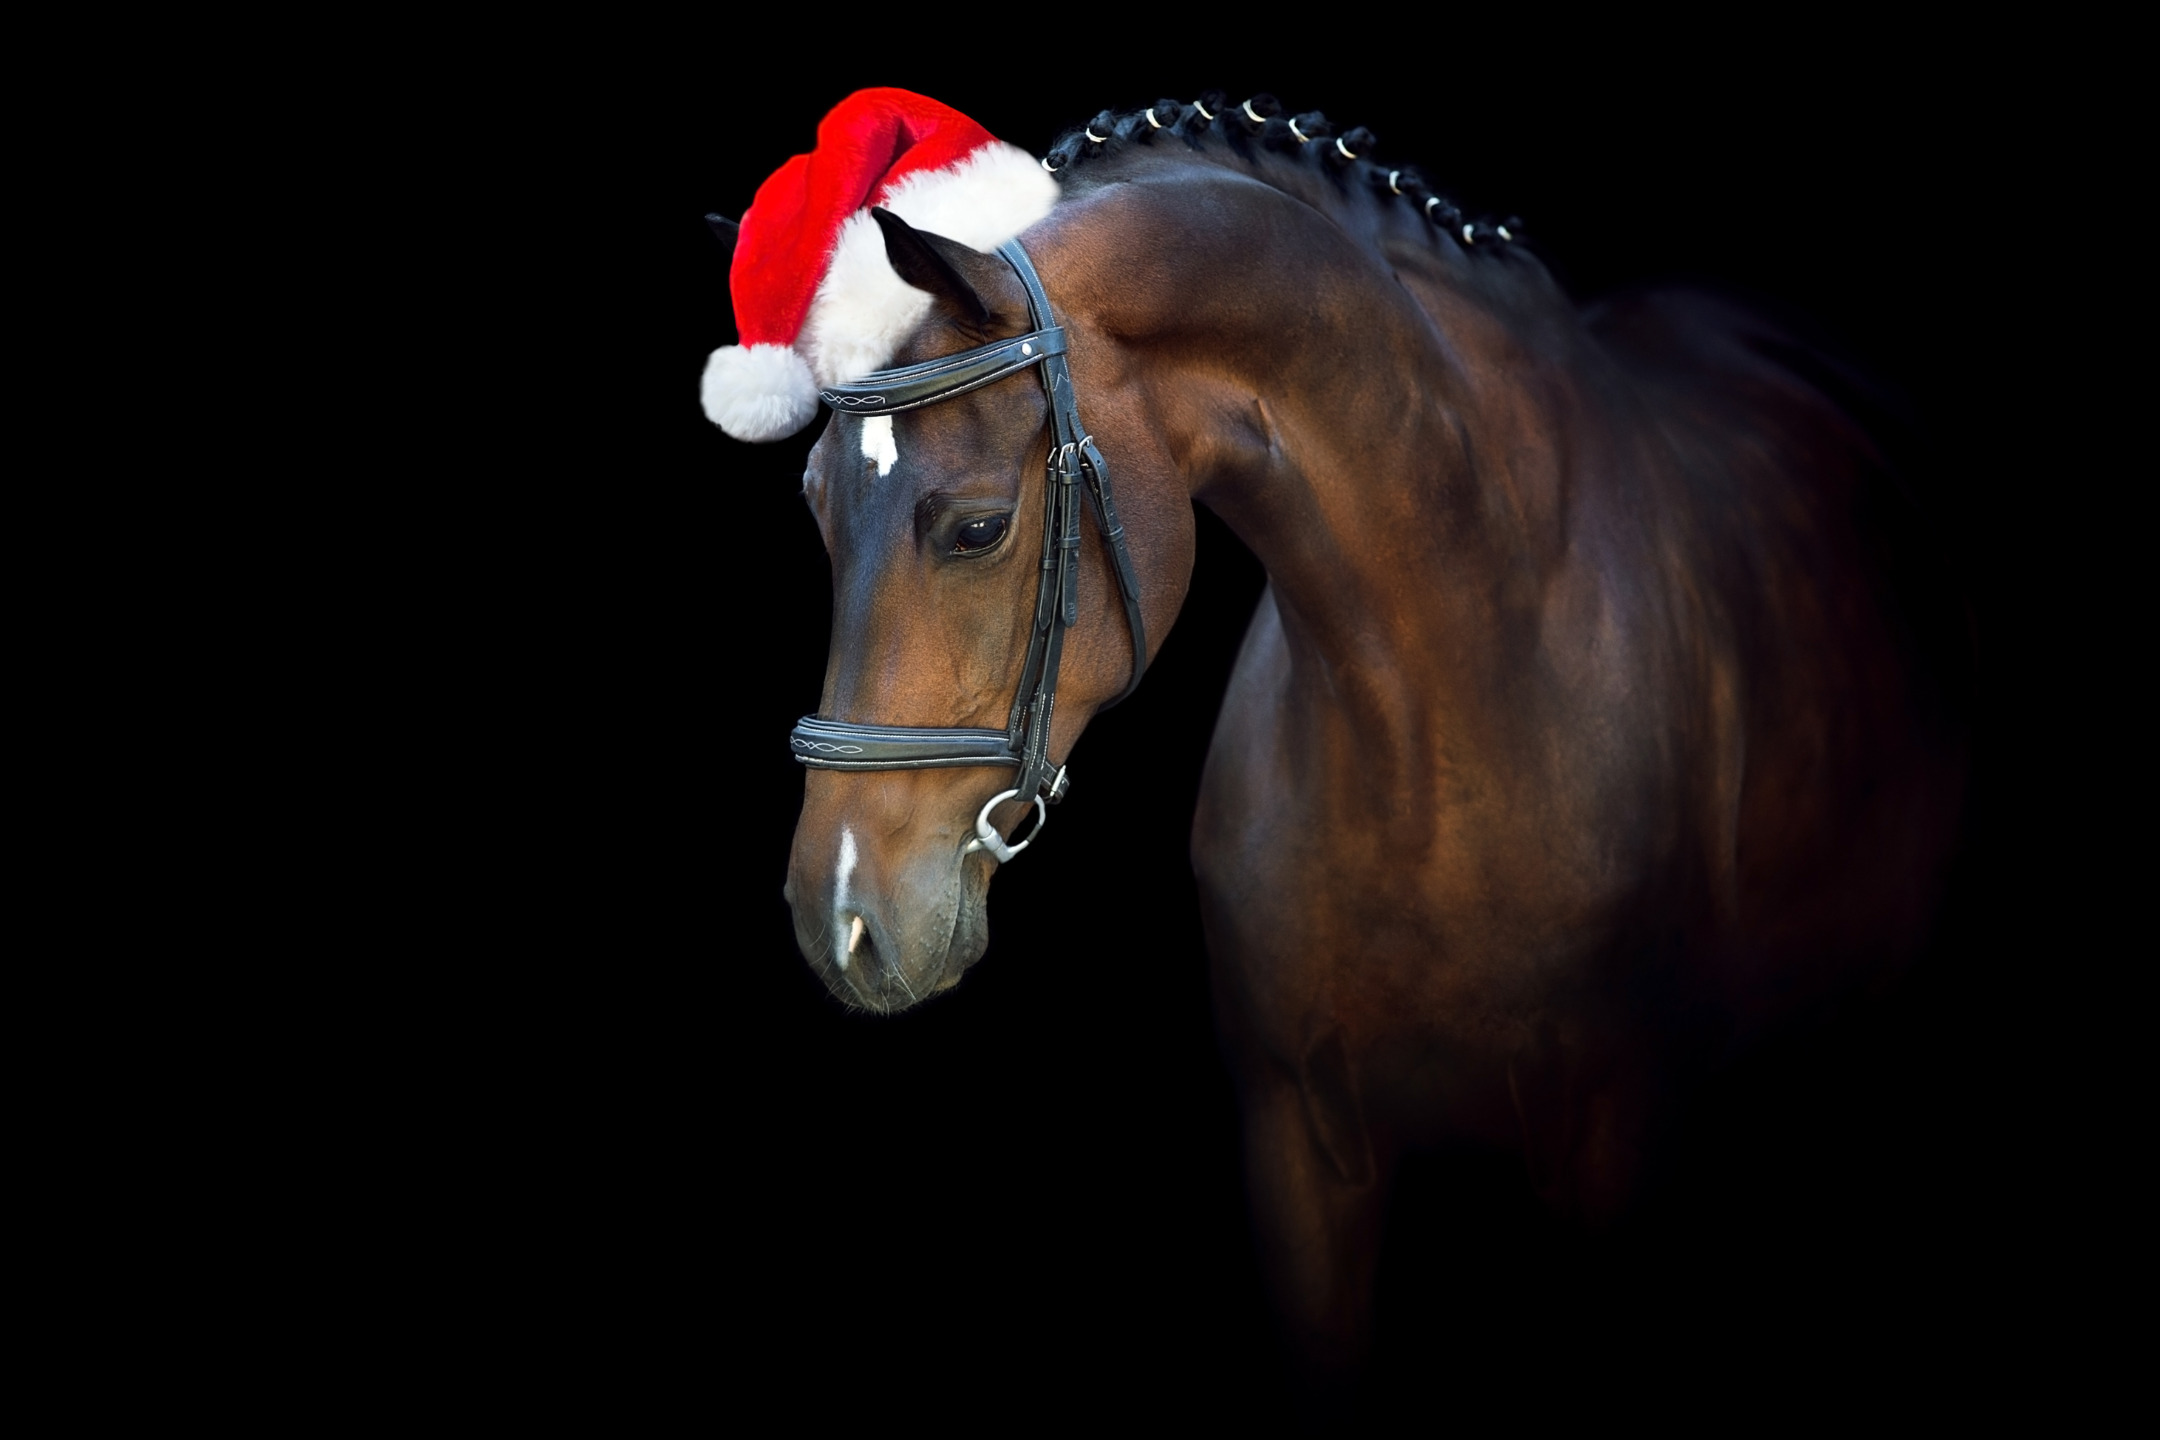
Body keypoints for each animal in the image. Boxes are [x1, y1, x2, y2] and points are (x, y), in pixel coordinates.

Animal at [734, 90, 1969, 1398]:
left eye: (977, 527)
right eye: (816, 506)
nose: (842, 921)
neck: (1440, 730)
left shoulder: (1615, 1132)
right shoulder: (1298, 1150)